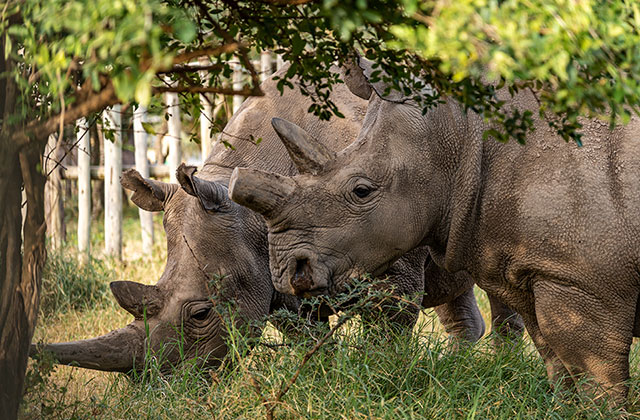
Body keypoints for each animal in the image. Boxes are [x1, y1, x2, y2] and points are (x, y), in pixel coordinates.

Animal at [31, 65, 519, 374]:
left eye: (202, 313)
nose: (164, 386)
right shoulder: (273, 267)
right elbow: (302, 332)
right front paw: (325, 379)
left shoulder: (388, 250)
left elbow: (386, 323)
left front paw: (384, 376)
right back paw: (461, 366)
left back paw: (502, 370)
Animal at [229, 58, 640, 403]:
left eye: (361, 191)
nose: (287, 270)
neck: (458, 134)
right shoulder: (534, 267)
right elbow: (556, 358)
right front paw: (564, 407)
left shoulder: (585, 282)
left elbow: (594, 372)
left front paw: (601, 411)